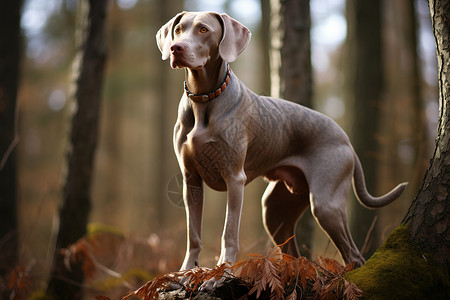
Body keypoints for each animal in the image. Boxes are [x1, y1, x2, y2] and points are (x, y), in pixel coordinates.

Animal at [156, 11, 406, 270]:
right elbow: (193, 234)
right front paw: (186, 270)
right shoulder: (191, 180)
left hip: (326, 203)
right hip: (275, 210)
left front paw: (225, 266)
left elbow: (229, 231)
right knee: (294, 252)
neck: (204, 99)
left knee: (354, 255)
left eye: (204, 29)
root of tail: (346, 140)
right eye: (178, 30)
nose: (175, 48)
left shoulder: (234, 178)